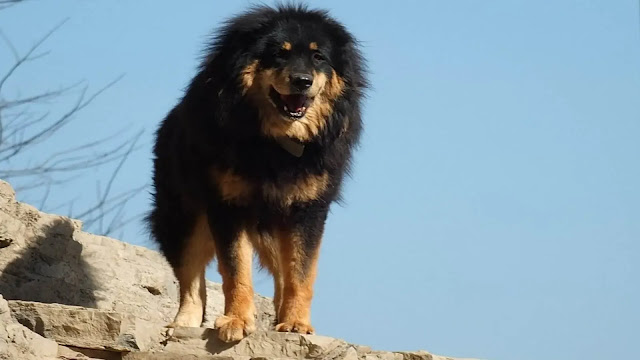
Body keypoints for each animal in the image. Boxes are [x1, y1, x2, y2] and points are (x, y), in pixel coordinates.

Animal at [146, 4, 364, 342]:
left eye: (318, 57)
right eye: (278, 54)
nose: (302, 81)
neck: (274, 143)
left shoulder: (307, 211)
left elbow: (300, 274)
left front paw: (296, 323)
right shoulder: (227, 206)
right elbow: (236, 271)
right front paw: (236, 320)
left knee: (282, 277)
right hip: (183, 216)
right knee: (191, 281)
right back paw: (183, 324)